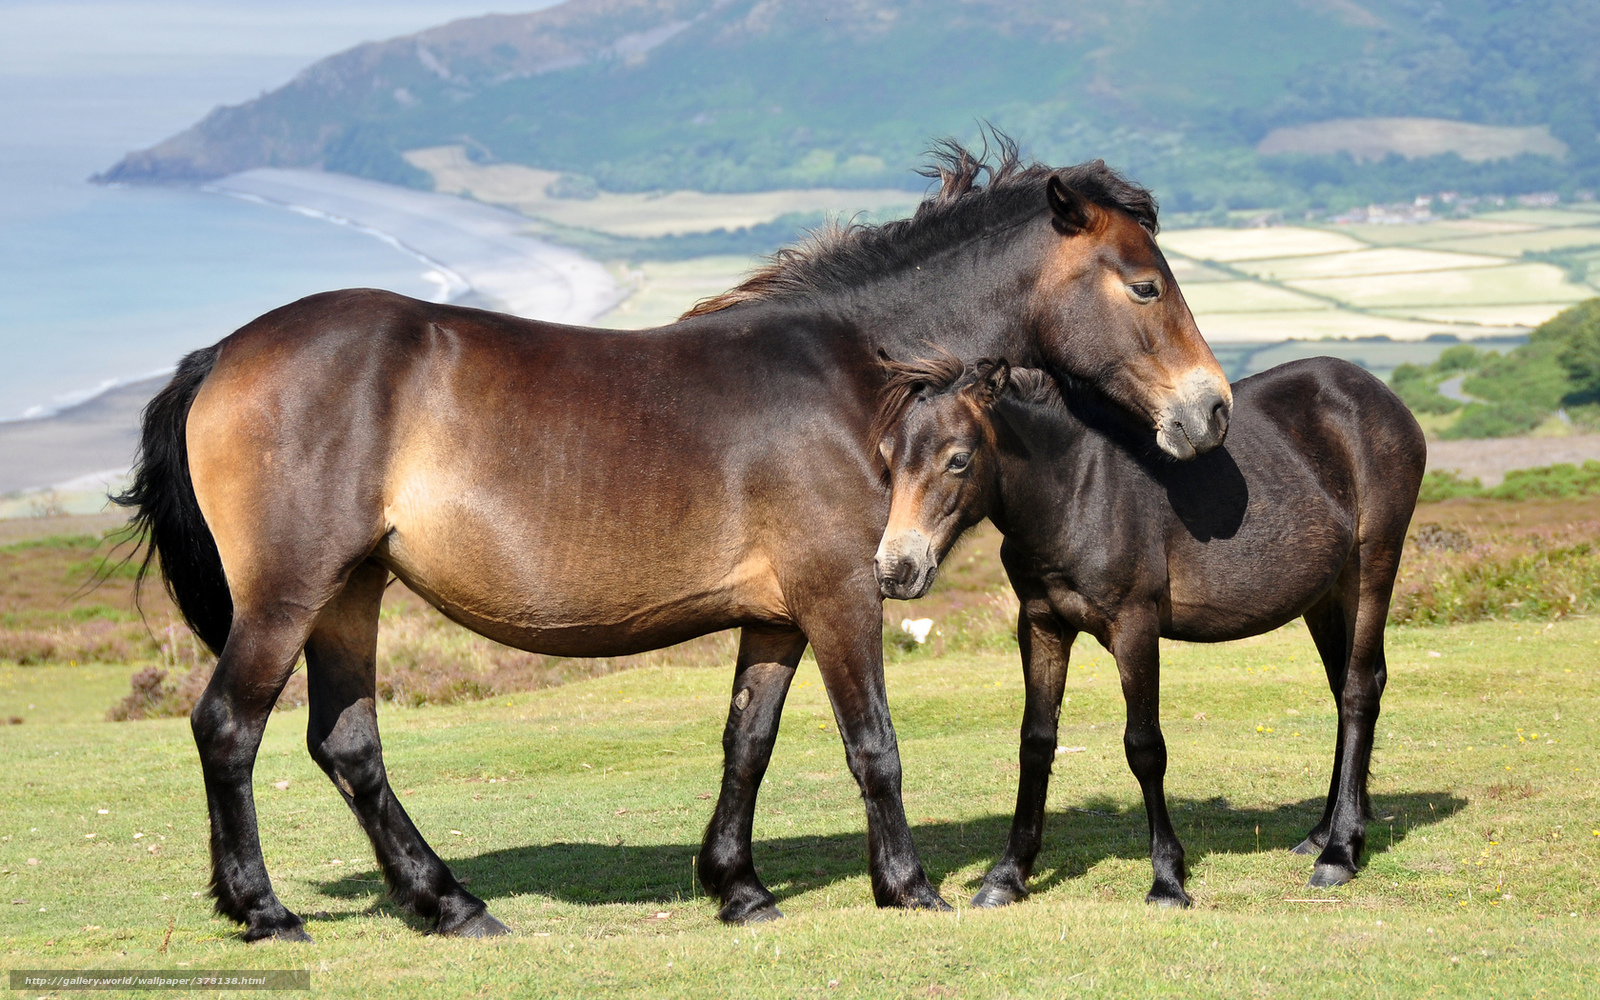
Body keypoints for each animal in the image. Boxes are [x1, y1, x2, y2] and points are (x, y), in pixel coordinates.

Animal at [115, 138, 1232, 941]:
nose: (1210, 410)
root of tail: (224, 354)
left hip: (351, 589)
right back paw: (265, 910)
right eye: (1144, 285)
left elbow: (748, 742)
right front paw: (908, 886)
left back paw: (451, 904)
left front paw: (738, 888)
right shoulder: (841, 590)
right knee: (229, 727)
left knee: (346, 744)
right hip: (291, 590)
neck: (853, 376)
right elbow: (872, 742)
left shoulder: (778, 614)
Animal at [871, 355, 1424, 906]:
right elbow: (1036, 742)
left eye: (958, 459)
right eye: (887, 457)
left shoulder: (1134, 627)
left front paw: (1168, 878)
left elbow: (1144, 747)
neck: (1078, 491)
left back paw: (1339, 853)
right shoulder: (1042, 624)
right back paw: (1321, 834)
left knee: (1358, 692)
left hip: (1371, 567)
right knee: (1345, 689)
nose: (896, 569)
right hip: (1323, 596)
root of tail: (1379, 395)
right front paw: (1006, 876)